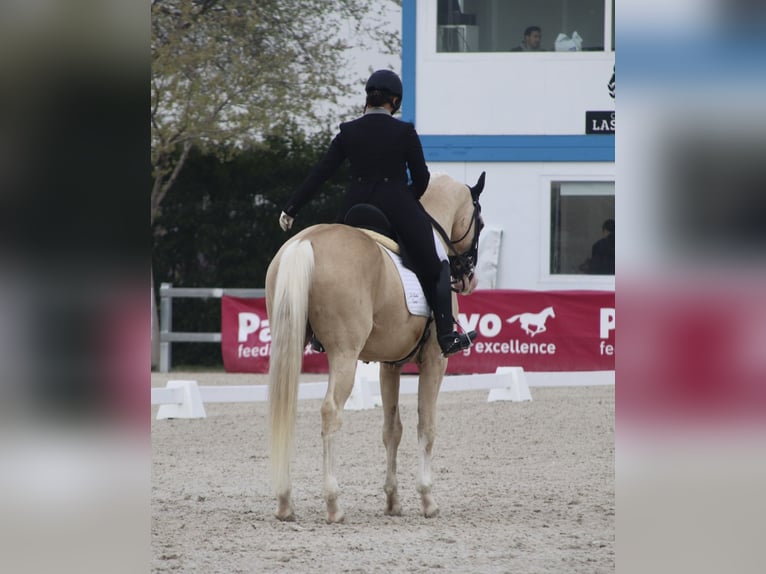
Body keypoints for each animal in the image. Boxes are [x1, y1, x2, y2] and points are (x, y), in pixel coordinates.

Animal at [268, 170, 488, 520]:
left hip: (286, 344)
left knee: (285, 410)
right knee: (331, 411)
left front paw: (393, 500)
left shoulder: (390, 364)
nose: (468, 277)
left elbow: (392, 429)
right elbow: (426, 425)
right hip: (344, 354)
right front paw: (427, 499)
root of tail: (304, 242)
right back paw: (334, 504)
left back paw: (285, 502)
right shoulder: (435, 361)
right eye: (479, 221)